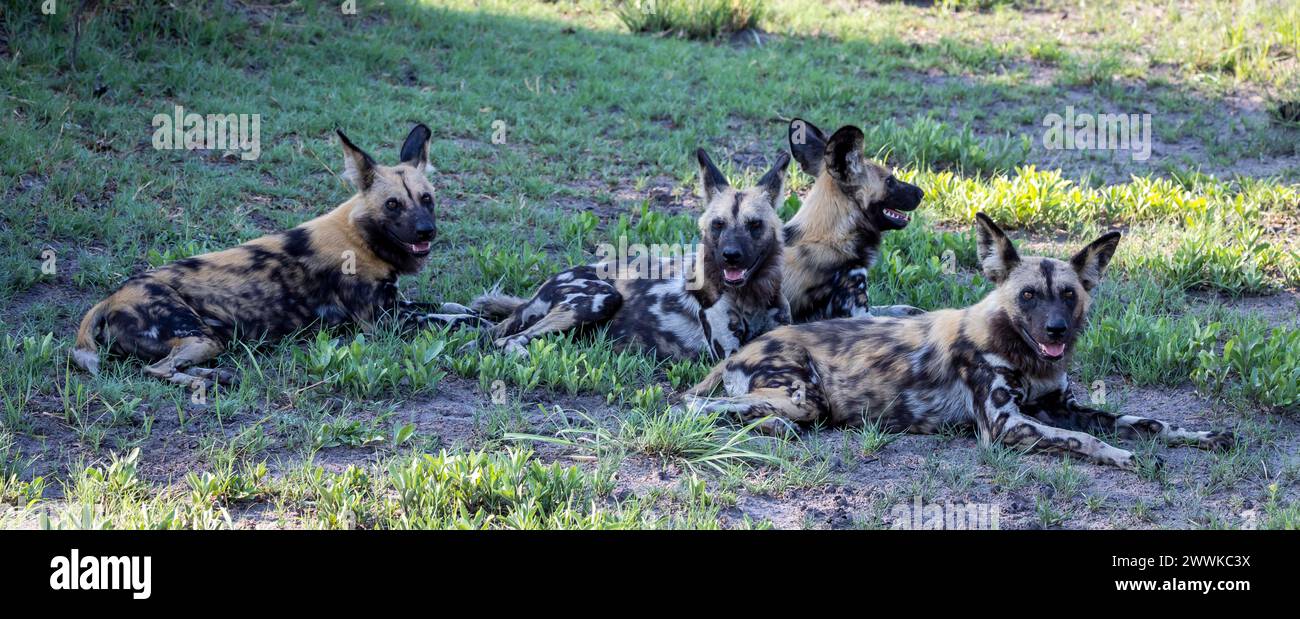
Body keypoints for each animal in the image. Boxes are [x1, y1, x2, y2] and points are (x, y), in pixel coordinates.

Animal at [71, 124, 480, 387]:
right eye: (393, 204)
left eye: (426, 199)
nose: (426, 231)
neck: (363, 237)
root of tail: (111, 299)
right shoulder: (384, 321)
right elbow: (455, 320)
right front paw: (484, 328)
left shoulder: (399, 305)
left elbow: (455, 307)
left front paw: (479, 309)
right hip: (201, 337)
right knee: (154, 371)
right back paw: (207, 382)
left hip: (207, 341)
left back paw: (218, 376)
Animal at [467, 150, 790, 361]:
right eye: (718, 224)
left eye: (754, 225)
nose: (730, 256)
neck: (751, 295)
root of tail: (546, 284)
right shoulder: (729, 353)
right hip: (599, 298)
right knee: (506, 339)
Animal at [686, 213, 1232, 468]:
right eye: (1028, 295)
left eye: (1069, 296)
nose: (1055, 330)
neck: (1028, 357)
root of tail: (745, 349)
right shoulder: (1007, 425)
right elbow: (1087, 439)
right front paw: (1124, 456)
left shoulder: (1059, 406)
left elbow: (1145, 421)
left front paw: (1200, 436)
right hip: (805, 398)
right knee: (697, 407)